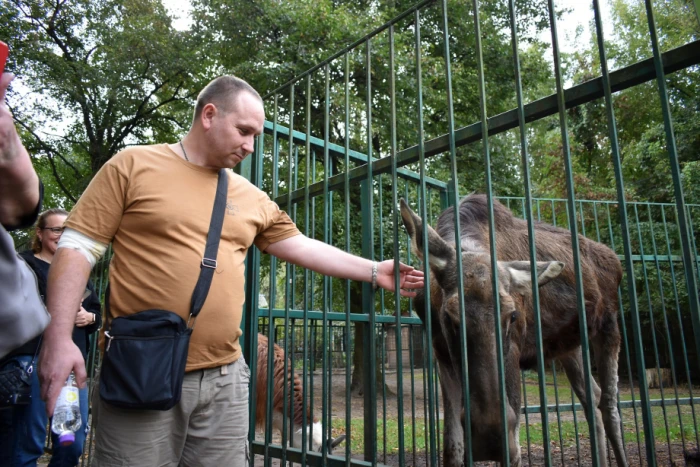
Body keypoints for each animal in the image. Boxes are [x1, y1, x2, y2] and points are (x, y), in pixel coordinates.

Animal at [400, 195, 628, 467]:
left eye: (513, 315)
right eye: (448, 316)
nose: (489, 437)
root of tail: (615, 260)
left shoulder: (514, 352)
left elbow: (515, 451)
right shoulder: (441, 354)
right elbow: (452, 450)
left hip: (609, 324)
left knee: (609, 405)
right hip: (568, 347)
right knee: (591, 398)